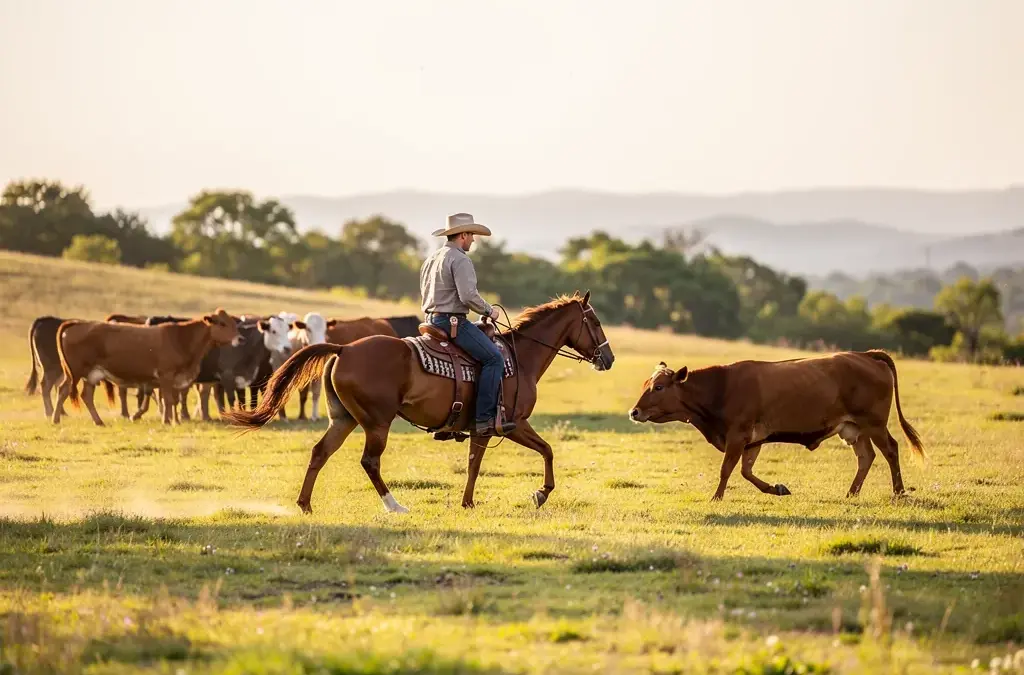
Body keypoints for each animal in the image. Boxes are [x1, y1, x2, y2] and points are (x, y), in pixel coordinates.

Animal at [224, 291, 615, 514]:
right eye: (594, 320)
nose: (608, 358)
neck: (519, 359)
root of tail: (344, 348)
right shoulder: (512, 423)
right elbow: (546, 450)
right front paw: (541, 494)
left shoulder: (483, 429)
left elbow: (475, 464)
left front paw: (468, 502)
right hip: (377, 423)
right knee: (370, 462)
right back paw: (394, 505)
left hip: (344, 420)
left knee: (320, 452)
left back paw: (305, 505)